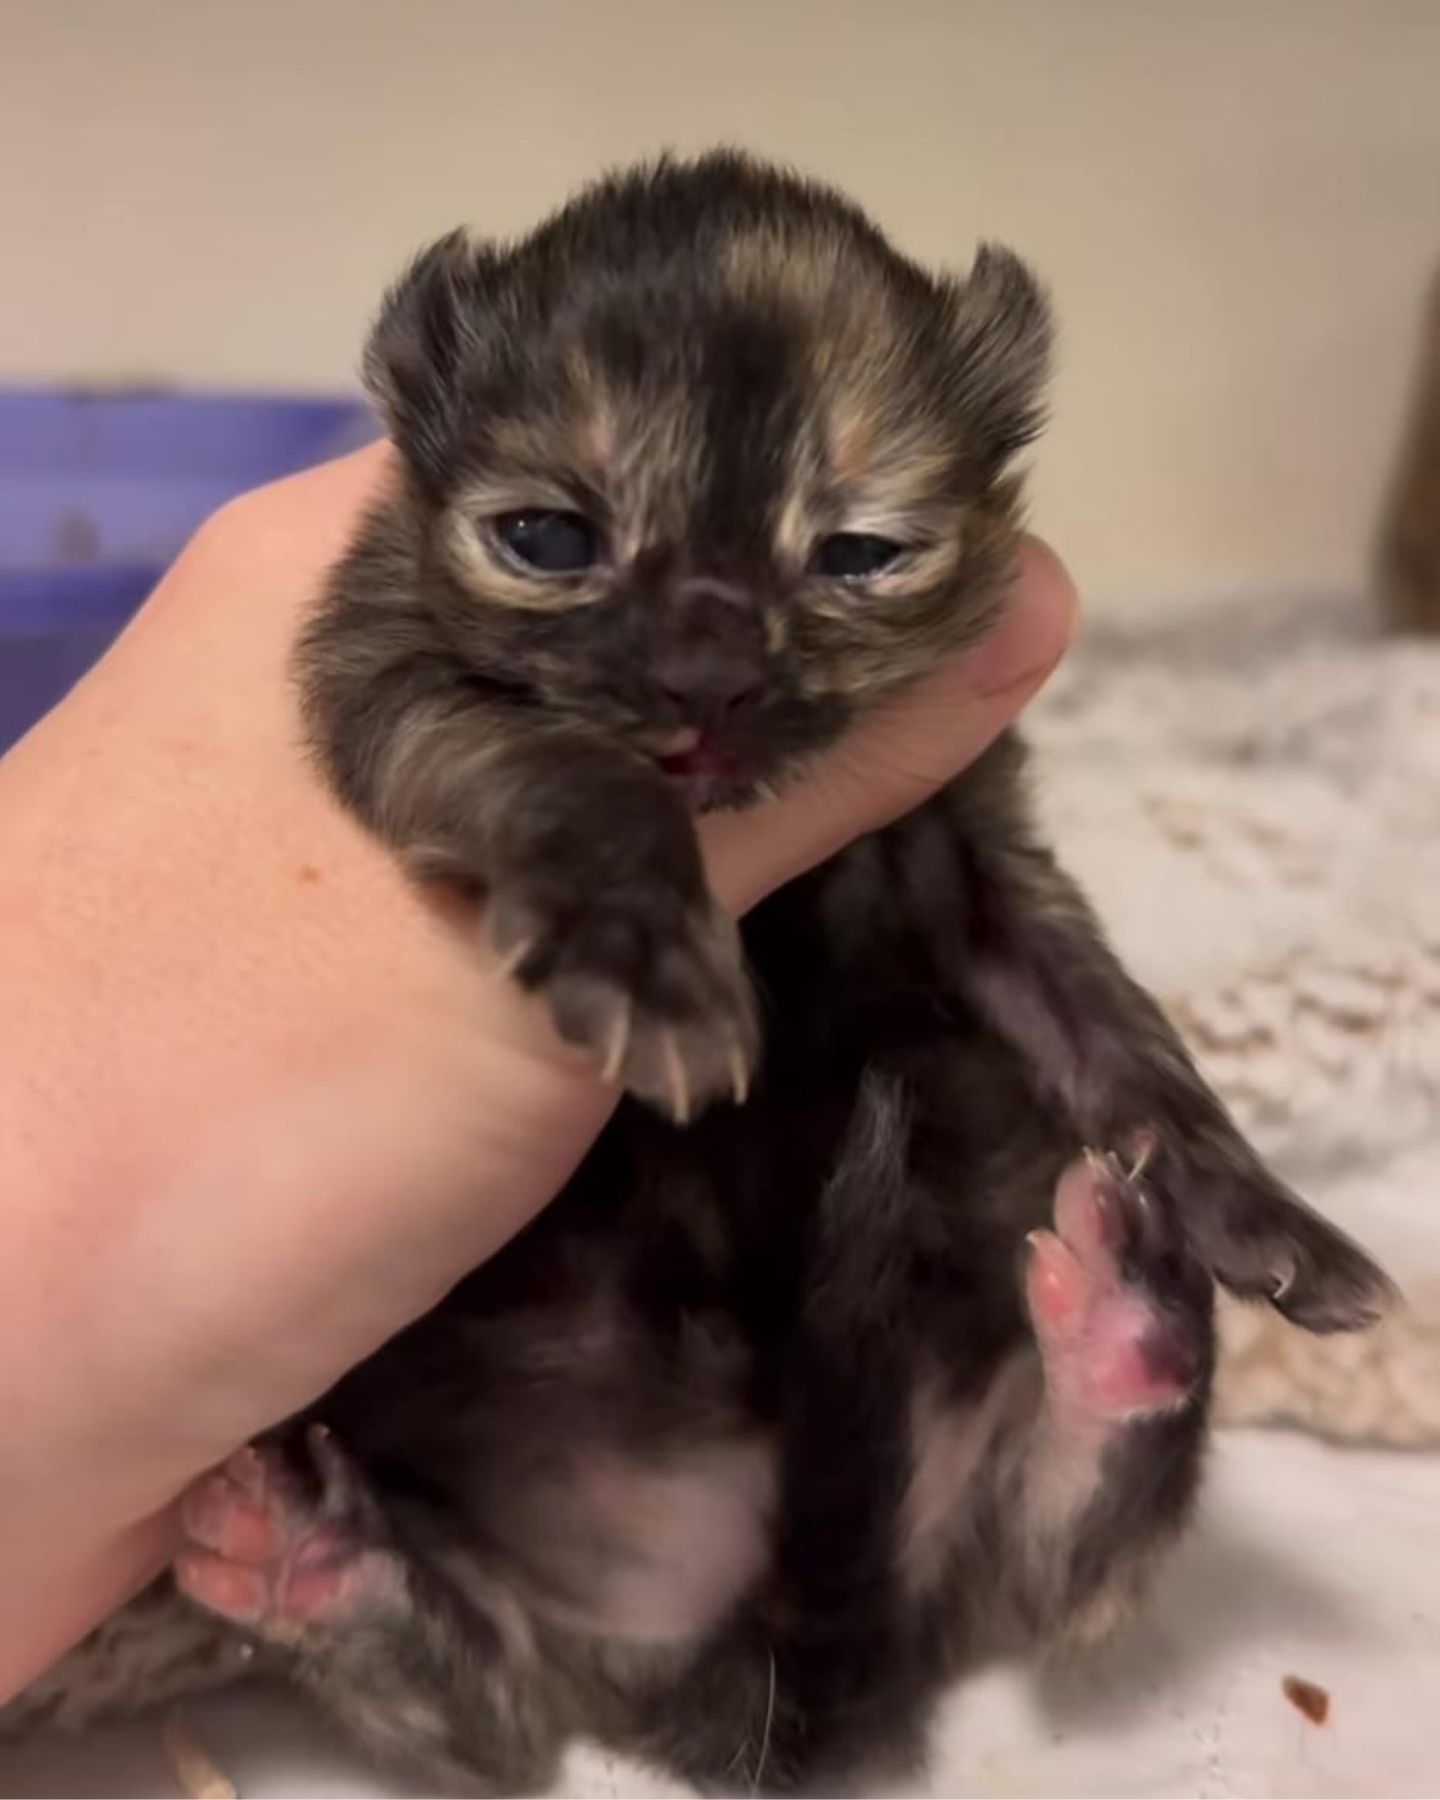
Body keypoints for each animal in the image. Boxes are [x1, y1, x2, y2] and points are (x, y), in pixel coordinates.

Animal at [2, 154, 1396, 1800]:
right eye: (548, 539)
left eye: (862, 552)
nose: (708, 673)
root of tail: (747, 1637)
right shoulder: (389, 676)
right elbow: (566, 769)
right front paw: (648, 950)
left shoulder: (977, 852)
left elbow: (1113, 1030)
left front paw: (1268, 1218)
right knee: (484, 1713)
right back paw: (302, 1562)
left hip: (979, 1487)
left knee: (1066, 1551)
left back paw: (1131, 1315)